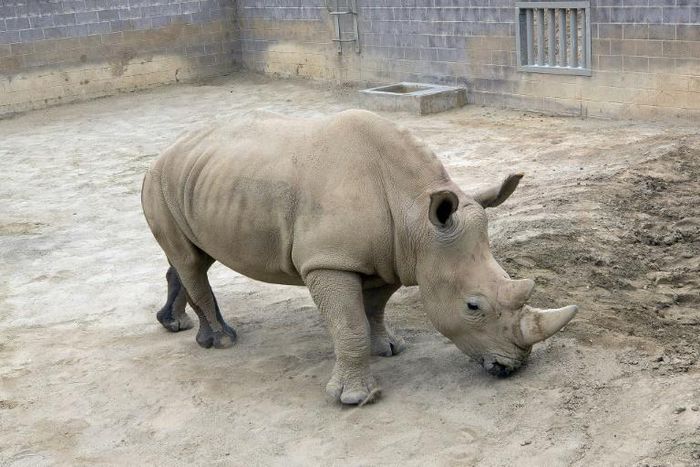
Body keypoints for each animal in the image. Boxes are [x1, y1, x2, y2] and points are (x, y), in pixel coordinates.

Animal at [141, 109, 577, 405]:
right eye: (473, 306)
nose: (515, 366)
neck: (415, 214)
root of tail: (165, 151)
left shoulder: (391, 255)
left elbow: (375, 308)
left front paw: (388, 348)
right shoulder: (329, 260)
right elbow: (348, 324)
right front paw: (355, 398)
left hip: (202, 181)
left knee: (192, 257)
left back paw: (177, 326)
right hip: (161, 181)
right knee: (191, 260)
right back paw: (222, 342)